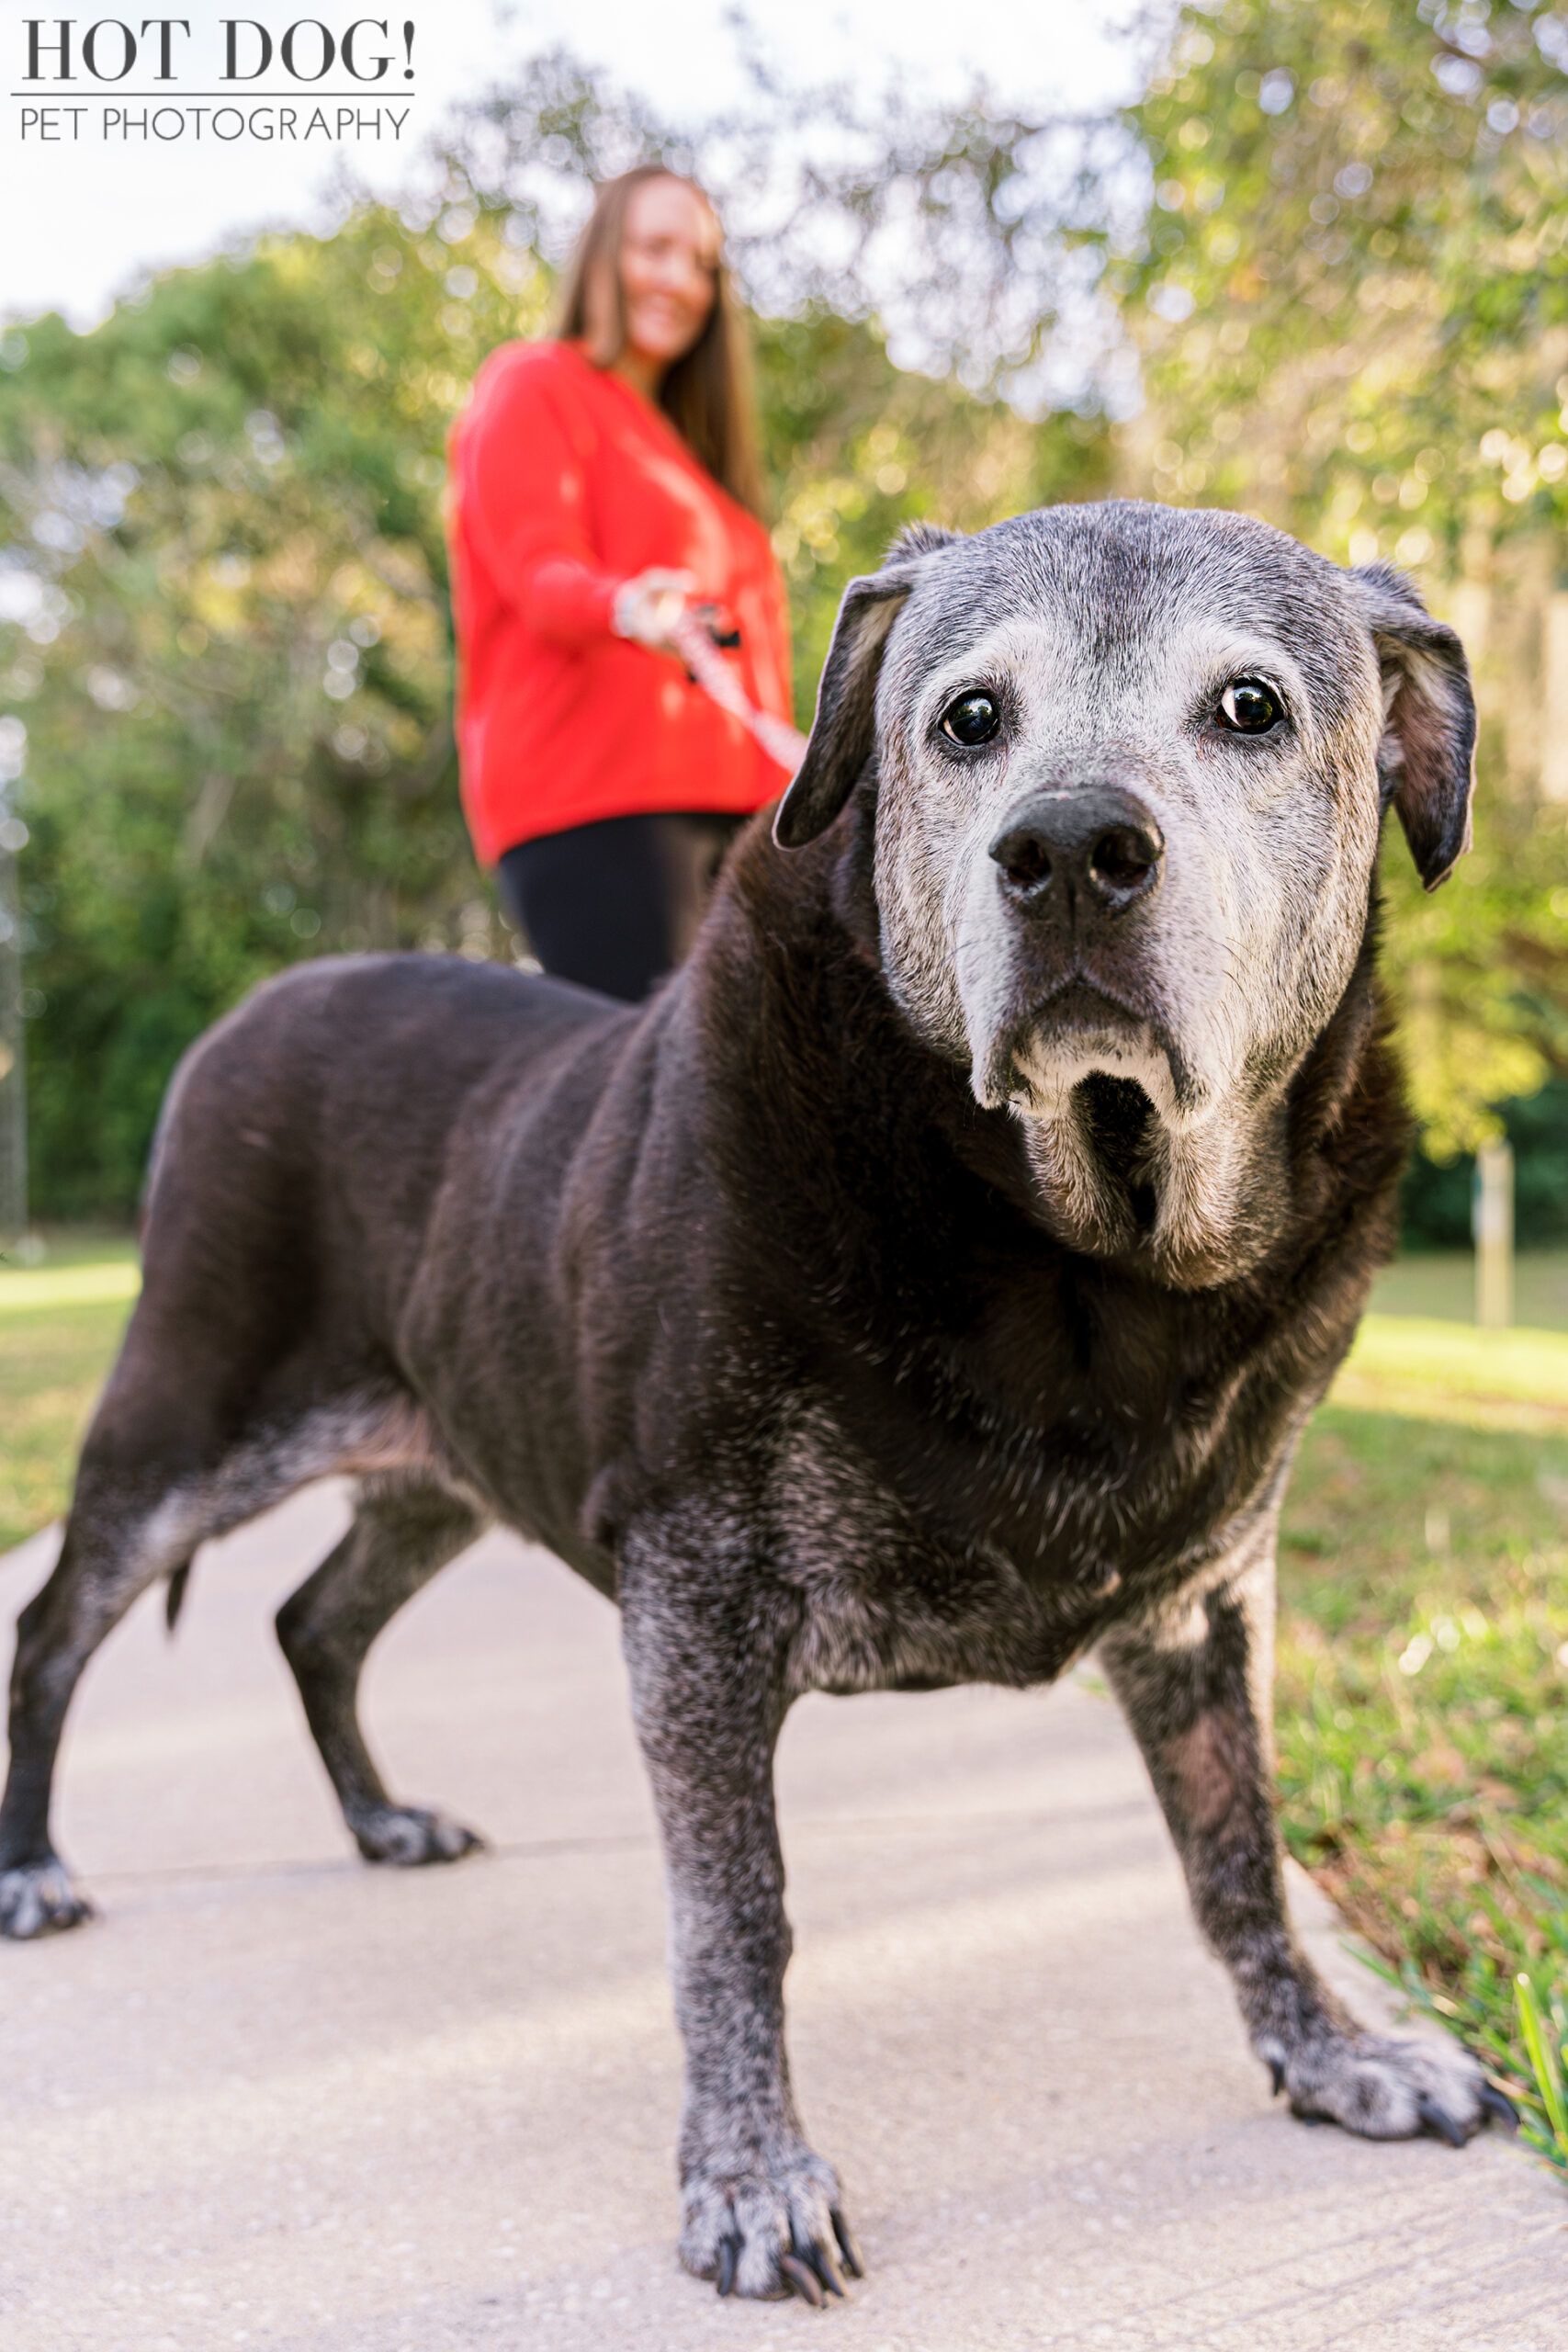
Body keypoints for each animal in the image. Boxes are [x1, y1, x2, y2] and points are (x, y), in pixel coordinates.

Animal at [3, 496, 1523, 2295]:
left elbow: (1233, 1847)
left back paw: (379, 1821)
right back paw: (33, 1861)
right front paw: (747, 2174)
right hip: (188, 1412)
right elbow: (736, 1916)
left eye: (1249, 708)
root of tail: (254, 1007)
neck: (1080, 1242)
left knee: (316, 1620)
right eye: (967, 718)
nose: (1069, 849)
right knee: (58, 1623)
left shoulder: (1210, 1595)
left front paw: (1327, 2054)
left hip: (446, 1456)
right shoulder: (695, 1600)